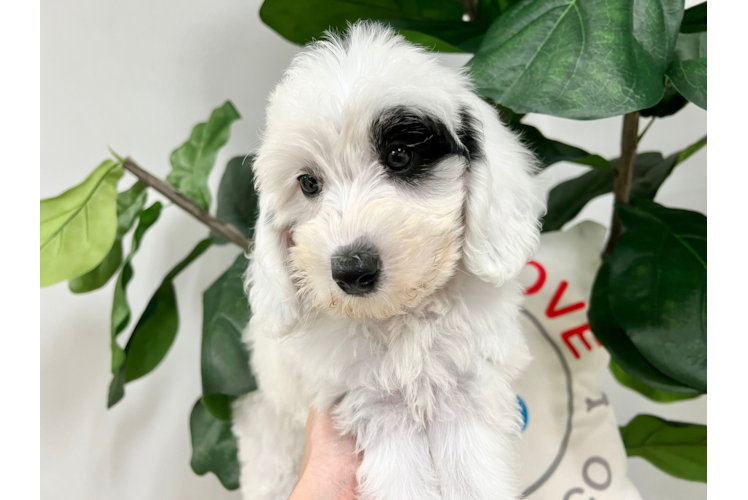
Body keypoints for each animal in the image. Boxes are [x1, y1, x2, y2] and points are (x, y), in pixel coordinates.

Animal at [237, 20, 548, 500]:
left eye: (400, 157)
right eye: (308, 184)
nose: (351, 269)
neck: (403, 317)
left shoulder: (465, 386)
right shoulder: (373, 401)